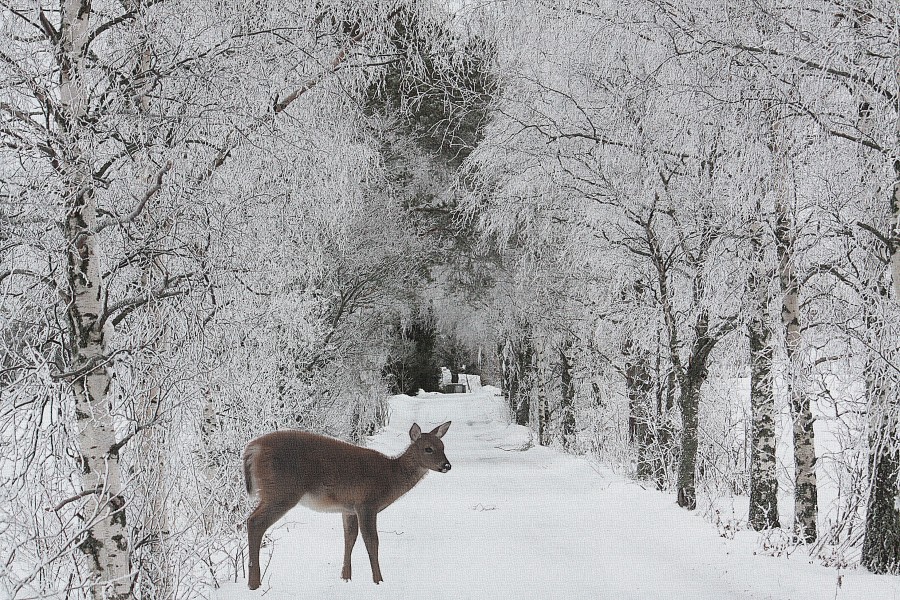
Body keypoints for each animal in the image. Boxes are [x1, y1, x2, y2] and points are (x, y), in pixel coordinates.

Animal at [241, 422, 450, 592]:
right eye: (428, 449)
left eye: (443, 446)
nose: (447, 465)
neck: (390, 477)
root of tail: (253, 448)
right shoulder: (367, 503)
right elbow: (372, 541)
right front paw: (379, 581)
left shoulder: (348, 509)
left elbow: (349, 538)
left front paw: (345, 577)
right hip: (282, 492)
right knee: (255, 522)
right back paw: (254, 583)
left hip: (274, 493)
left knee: (252, 521)